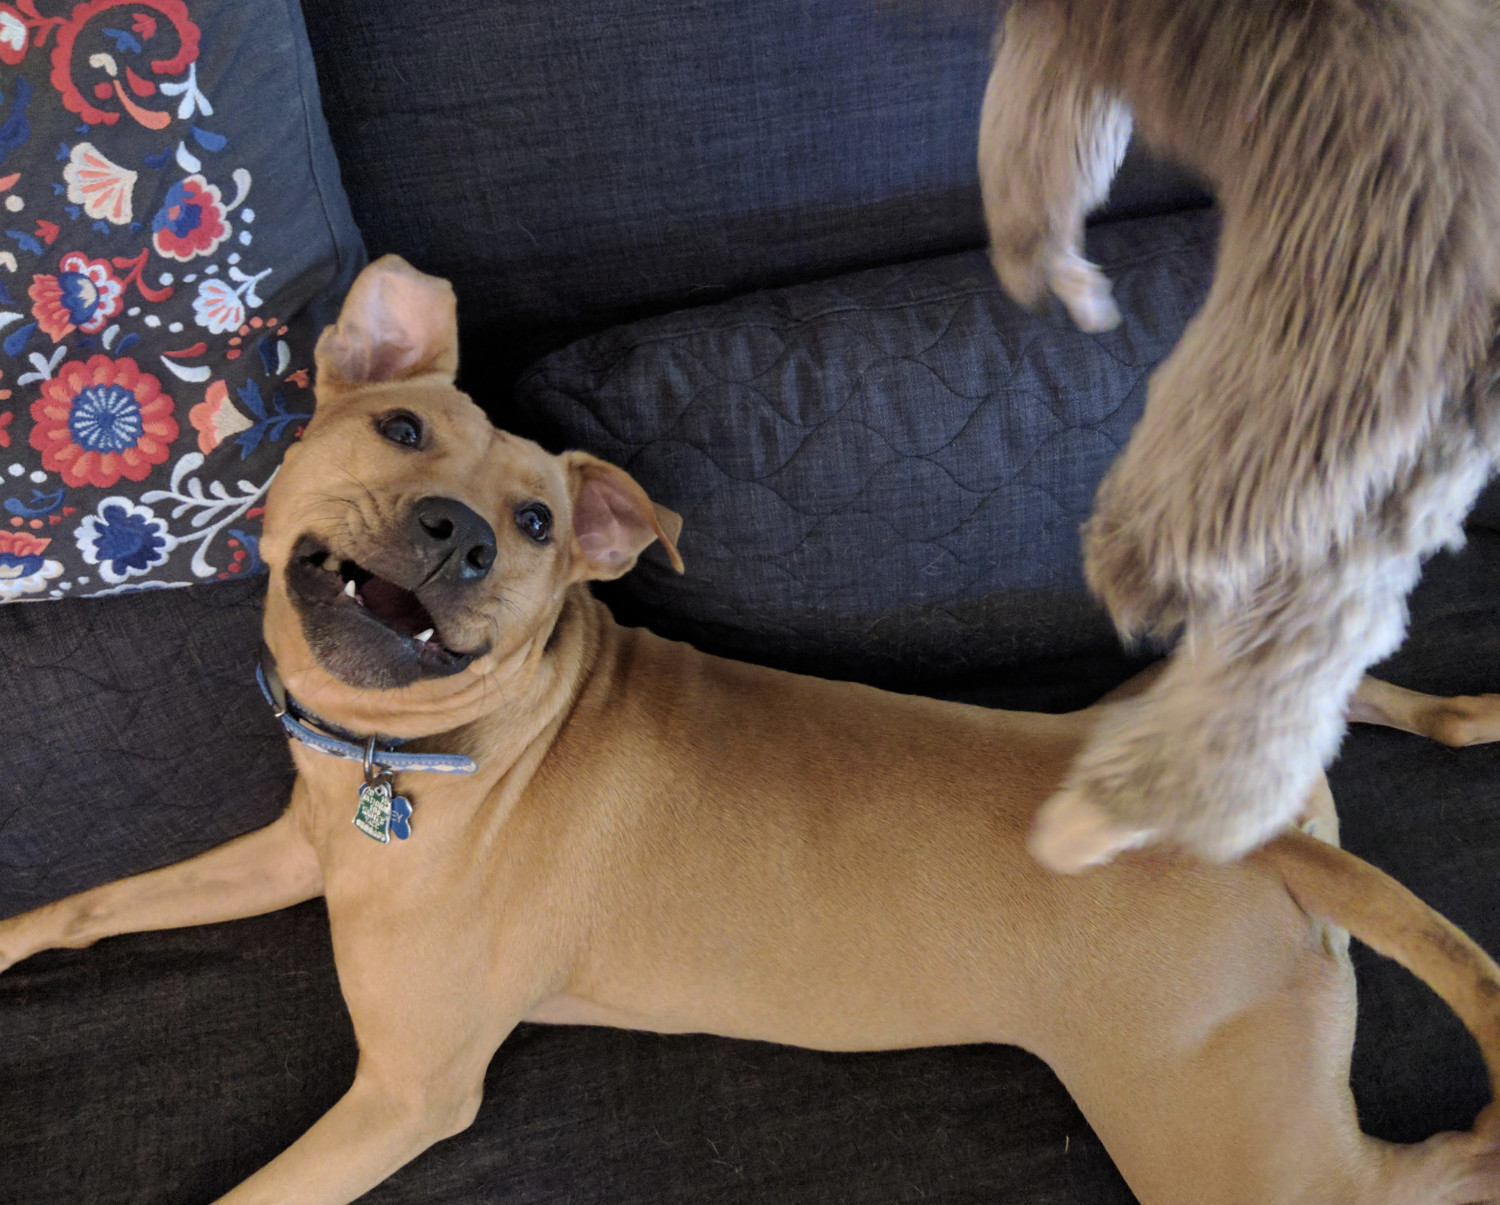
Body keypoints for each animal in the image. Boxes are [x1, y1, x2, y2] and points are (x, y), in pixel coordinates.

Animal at [2, 259, 1500, 1200]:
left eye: (537, 522)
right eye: (404, 427)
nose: (459, 532)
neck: (407, 755)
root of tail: (1274, 850)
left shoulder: (409, 1091)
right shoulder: (283, 854)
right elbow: (96, 901)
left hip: (1231, 1149)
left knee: (1422, 1170)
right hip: (1153, 718)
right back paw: (1459, 712)